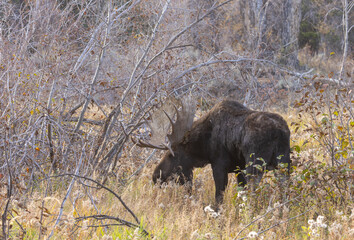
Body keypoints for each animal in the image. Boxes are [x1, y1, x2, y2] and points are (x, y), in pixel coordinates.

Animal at [133, 98, 290, 203]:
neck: (204, 145)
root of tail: (280, 132)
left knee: (253, 192)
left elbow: (218, 197)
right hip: (283, 163)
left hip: (256, 164)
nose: (155, 176)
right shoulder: (239, 168)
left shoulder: (219, 165)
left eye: (173, 154)